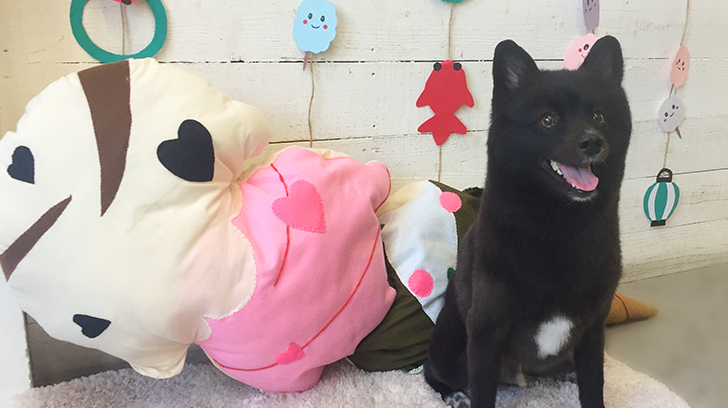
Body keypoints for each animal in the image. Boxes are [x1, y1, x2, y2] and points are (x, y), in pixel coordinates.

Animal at [424, 35, 632, 408]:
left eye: (599, 116)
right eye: (547, 120)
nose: (593, 141)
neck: (561, 226)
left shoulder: (593, 331)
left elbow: (594, 386)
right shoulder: (485, 334)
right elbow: (482, 393)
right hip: (449, 348)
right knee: (432, 372)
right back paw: (453, 395)